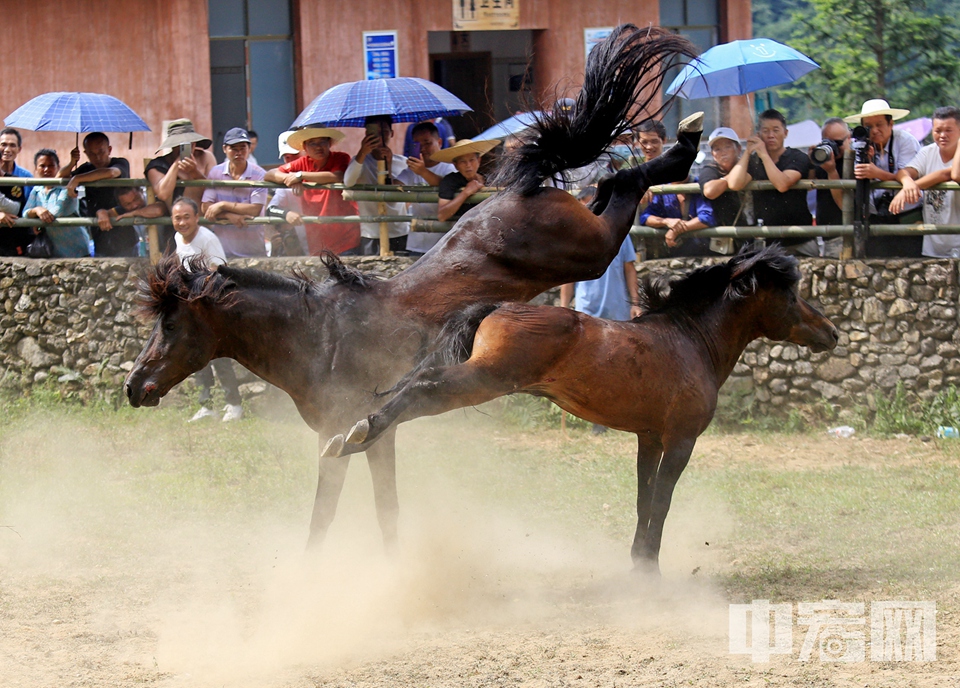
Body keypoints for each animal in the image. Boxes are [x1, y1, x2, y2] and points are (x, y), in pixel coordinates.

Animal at [124, 24, 700, 552]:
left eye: (170, 324)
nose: (134, 387)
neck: (317, 336)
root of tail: (526, 188)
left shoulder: (346, 436)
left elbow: (333, 517)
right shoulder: (363, 438)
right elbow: (382, 509)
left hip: (592, 249)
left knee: (624, 187)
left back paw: (686, 143)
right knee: (612, 184)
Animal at [322, 247, 840, 568]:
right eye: (790, 294)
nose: (831, 333)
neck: (688, 340)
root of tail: (496, 308)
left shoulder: (649, 439)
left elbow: (643, 499)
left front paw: (636, 561)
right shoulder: (680, 440)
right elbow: (663, 501)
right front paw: (650, 566)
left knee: (413, 385)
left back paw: (352, 435)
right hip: (484, 380)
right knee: (421, 389)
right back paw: (357, 433)